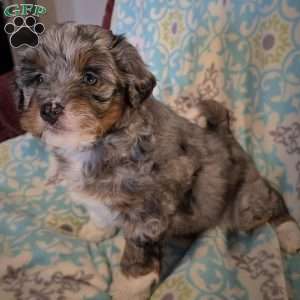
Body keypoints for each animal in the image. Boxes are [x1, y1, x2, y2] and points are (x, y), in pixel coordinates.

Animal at [16, 24, 300, 300]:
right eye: (38, 78)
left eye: (90, 78)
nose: (49, 109)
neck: (100, 141)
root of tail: (225, 133)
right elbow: (98, 209)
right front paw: (96, 230)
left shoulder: (149, 208)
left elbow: (138, 250)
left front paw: (129, 287)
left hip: (245, 204)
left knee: (272, 201)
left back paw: (289, 234)